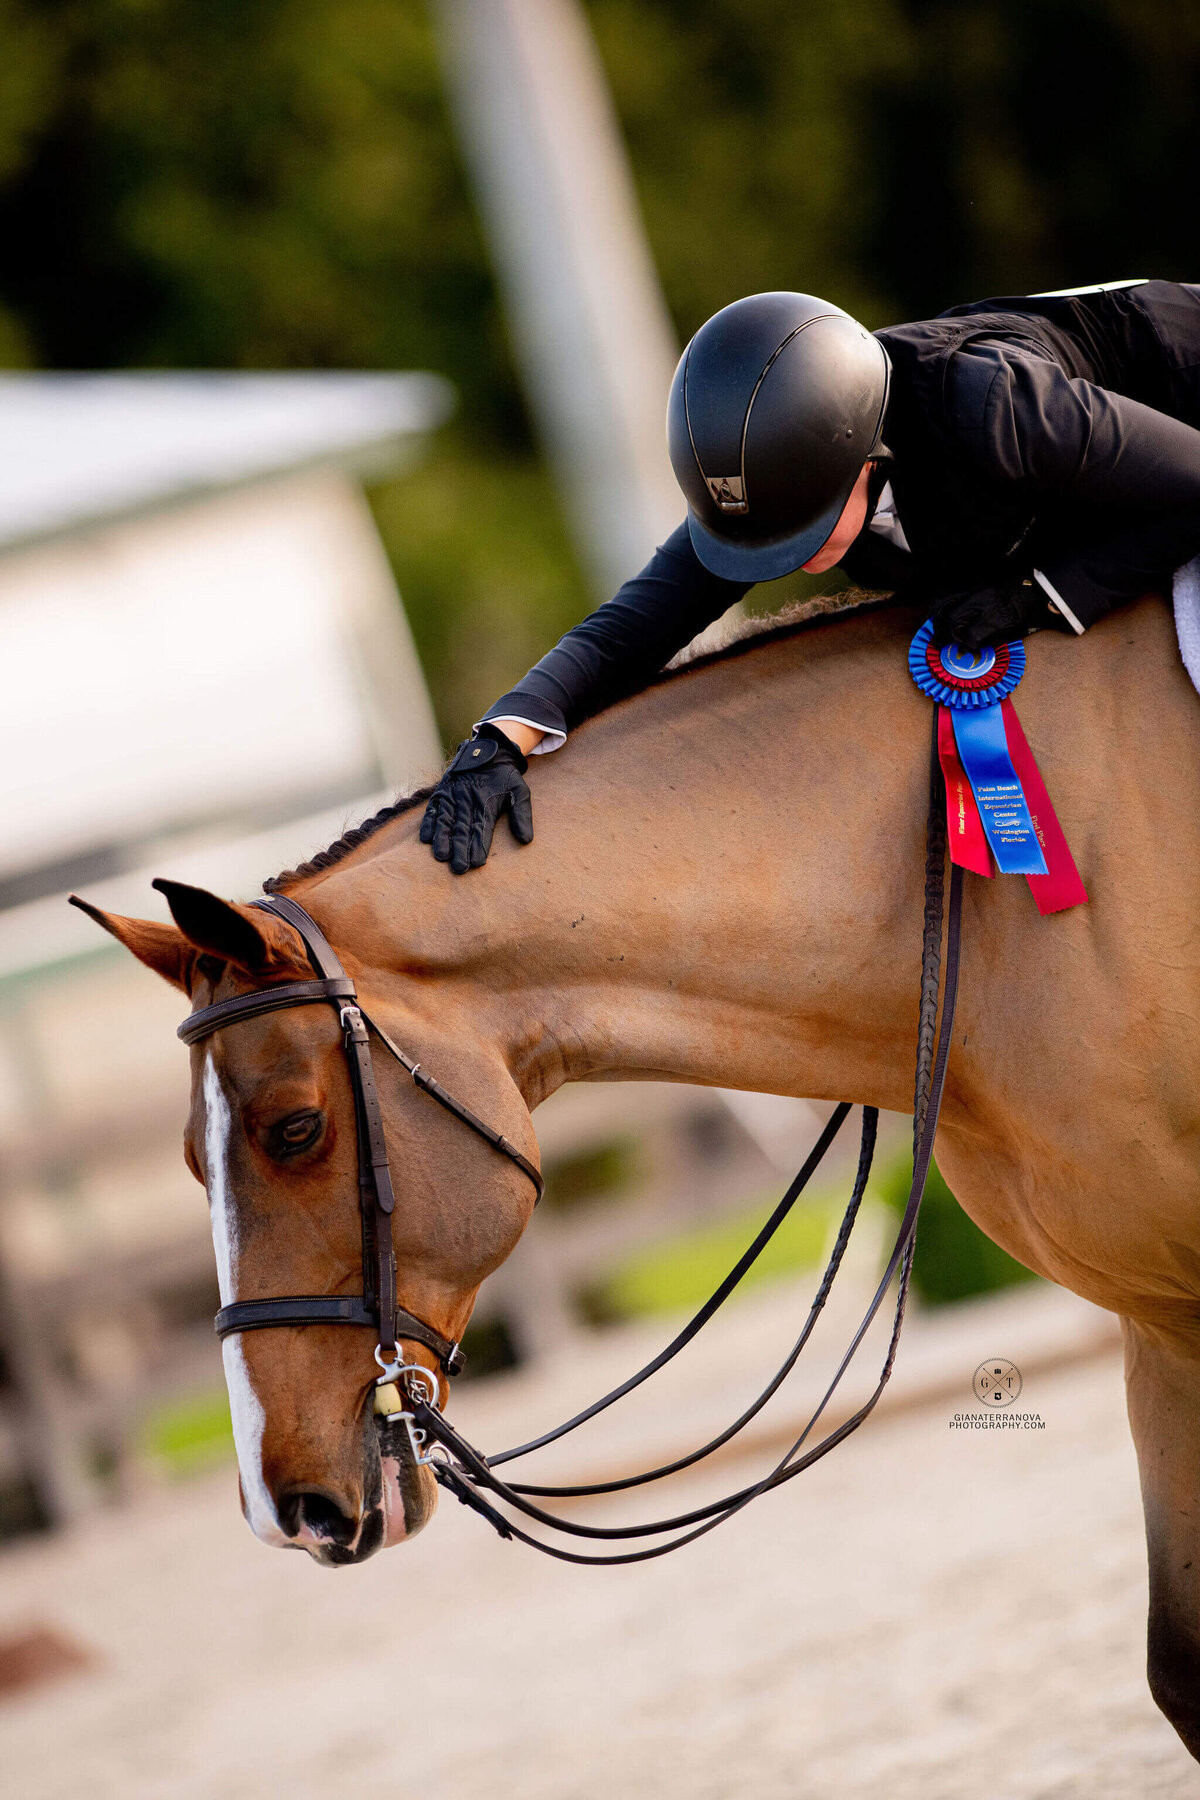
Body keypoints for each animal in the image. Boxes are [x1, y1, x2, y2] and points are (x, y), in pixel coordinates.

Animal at [75, 594, 1200, 1756]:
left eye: (294, 1129)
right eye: (190, 1160)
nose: (283, 1508)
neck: (1007, 915)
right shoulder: (1160, 1322)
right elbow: (1183, 1671)